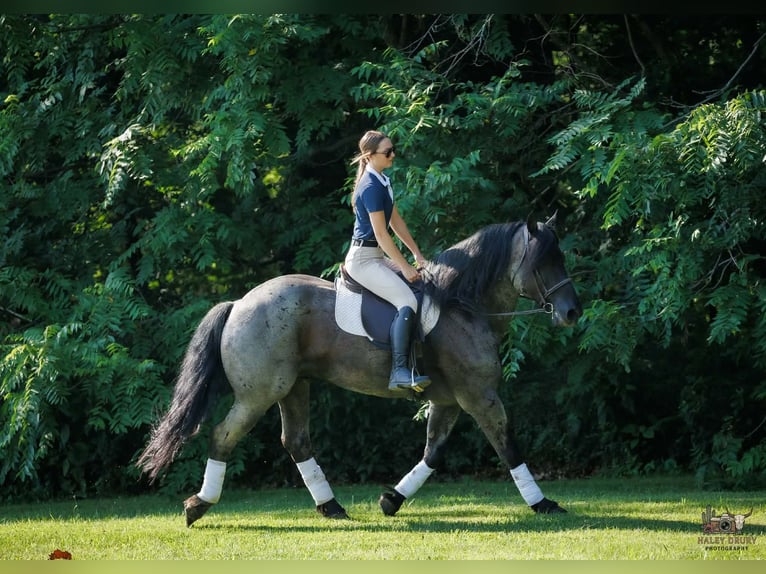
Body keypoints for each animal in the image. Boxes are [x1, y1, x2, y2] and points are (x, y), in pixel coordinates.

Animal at [136, 214, 582, 527]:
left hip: (294, 387)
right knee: (223, 436)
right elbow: (509, 447)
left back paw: (332, 507)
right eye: (543, 262)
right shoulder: (480, 396)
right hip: (259, 394)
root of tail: (239, 303)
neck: (463, 306)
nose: (571, 313)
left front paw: (391, 500)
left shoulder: (449, 400)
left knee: (296, 441)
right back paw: (198, 505)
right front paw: (544, 504)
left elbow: (433, 453)